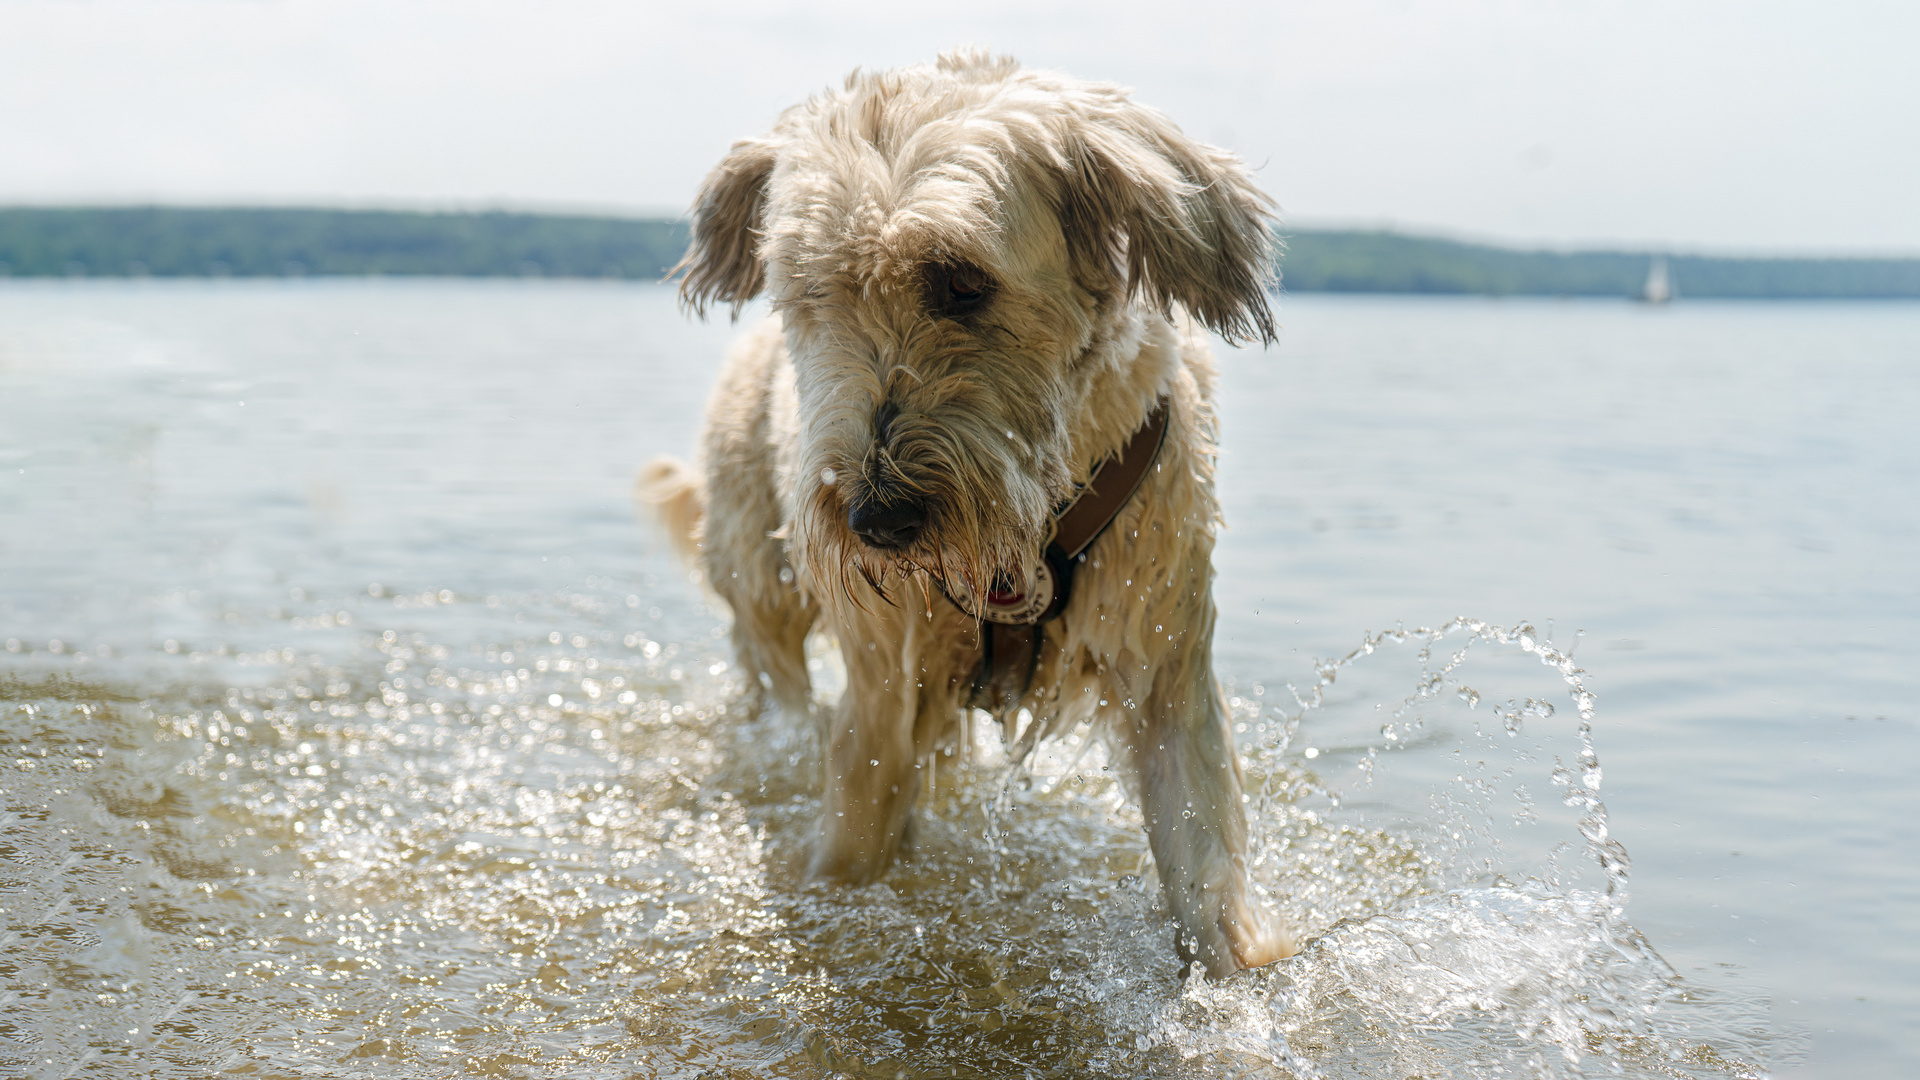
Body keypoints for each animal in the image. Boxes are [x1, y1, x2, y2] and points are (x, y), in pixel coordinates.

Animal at [641, 52, 1290, 976]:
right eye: (811, 288)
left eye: (962, 281)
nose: (875, 519)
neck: (1031, 526)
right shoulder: (879, 698)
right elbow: (851, 844)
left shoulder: (1165, 668)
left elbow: (1205, 871)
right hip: (761, 593)